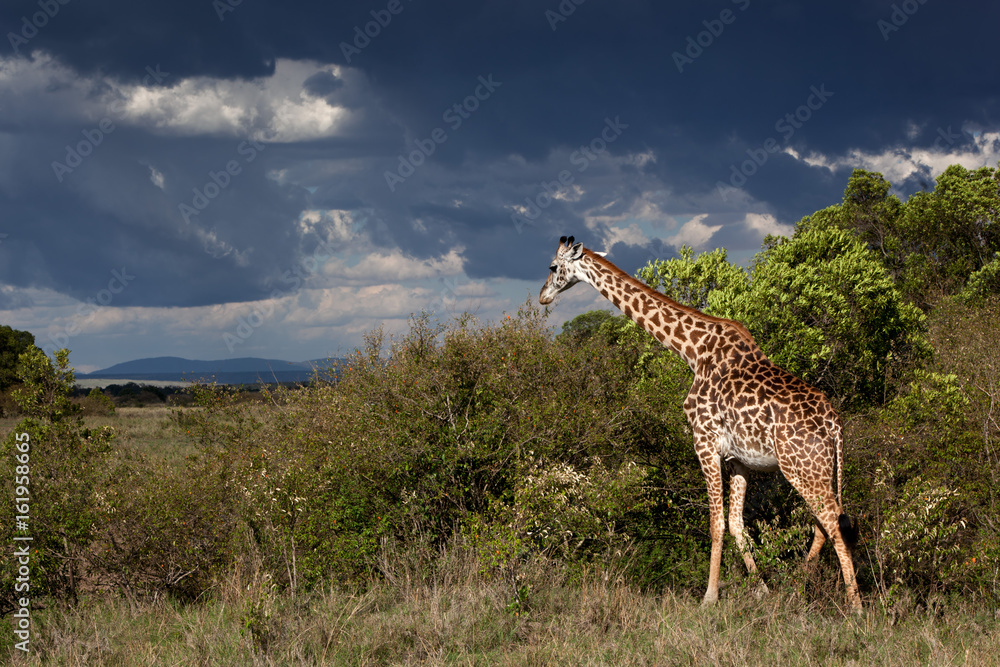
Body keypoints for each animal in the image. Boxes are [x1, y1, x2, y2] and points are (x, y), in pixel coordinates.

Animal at [539, 236, 861, 612]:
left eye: (552, 267)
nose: (543, 296)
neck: (691, 351)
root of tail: (836, 424)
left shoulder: (704, 441)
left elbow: (715, 523)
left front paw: (709, 597)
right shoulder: (739, 459)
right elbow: (736, 524)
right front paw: (762, 590)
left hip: (802, 467)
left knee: (832, 521)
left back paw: (855, 606)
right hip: (819, 467)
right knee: (825, 522)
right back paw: (796, 589)